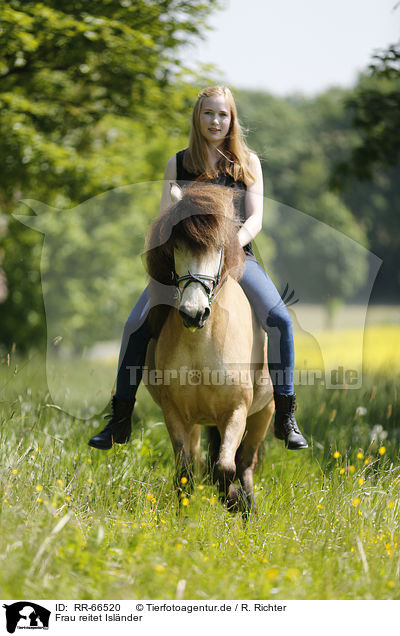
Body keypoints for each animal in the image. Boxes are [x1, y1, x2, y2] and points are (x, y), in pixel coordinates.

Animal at [145, 183, 276, 512]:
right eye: (177, 247)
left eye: (218, 248)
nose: (194, 313)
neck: (200, 343)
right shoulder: (175, 413)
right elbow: (186, 473)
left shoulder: (236, 410)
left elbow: (226, 469)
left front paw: (234, 500)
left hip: (264, 412)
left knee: (246, 464)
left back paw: (247, 507)